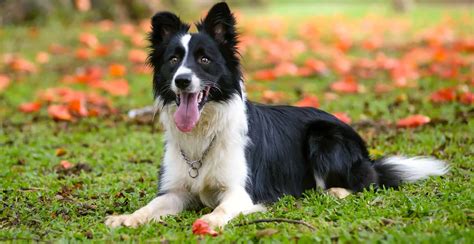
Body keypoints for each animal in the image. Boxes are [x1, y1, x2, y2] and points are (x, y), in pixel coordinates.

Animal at [106, 2, 448, 229]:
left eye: (204, 59)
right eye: (174, 60)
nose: (182, 81)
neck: (205, 131)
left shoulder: (241, 192)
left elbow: (220, 211)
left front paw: (209, 222)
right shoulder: (175, 191)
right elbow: (150, 206)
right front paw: (126, 217)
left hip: (324, 137)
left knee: (366, 182)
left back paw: (335, 191)